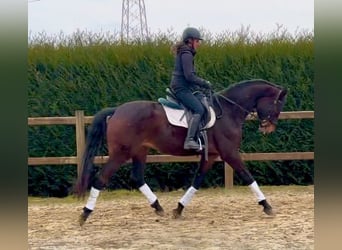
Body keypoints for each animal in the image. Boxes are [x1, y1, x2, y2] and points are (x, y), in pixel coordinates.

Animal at [75, 79, 288, 226]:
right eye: (278, 104)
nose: (268, 128)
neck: (228, 110)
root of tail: (117, 110)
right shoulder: (230, 153)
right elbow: (248, 176)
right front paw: (267, 206)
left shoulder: (211, 156)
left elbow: (197, 181)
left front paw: (178, 209)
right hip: (121, 153)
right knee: (101, 179)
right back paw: (84, 214)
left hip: (139, 151)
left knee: (137, 177)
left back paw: (158, 207)